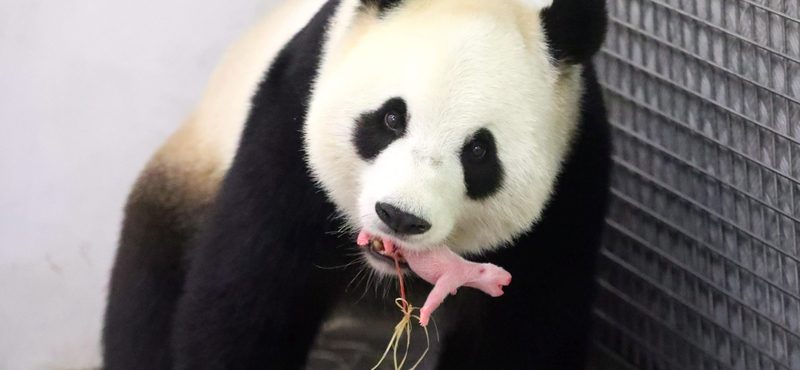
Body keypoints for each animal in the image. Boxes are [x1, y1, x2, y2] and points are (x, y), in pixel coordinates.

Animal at [103, 0, 608, 368]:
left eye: (479, 151)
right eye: (391, 118)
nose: (400, 217)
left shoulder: (570, 187)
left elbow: (525, 334)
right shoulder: (291, 123)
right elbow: (243, 301)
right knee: (145, 297)